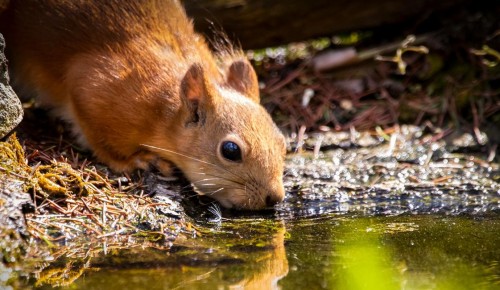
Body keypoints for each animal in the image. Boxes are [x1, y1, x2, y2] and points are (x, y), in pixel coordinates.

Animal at [0, 0, 286, 208]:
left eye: (283, 142)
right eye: (230, 150)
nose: (275, 198)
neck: (164, 114)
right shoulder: (94, 88)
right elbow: (100, 141)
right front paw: (138, 160)